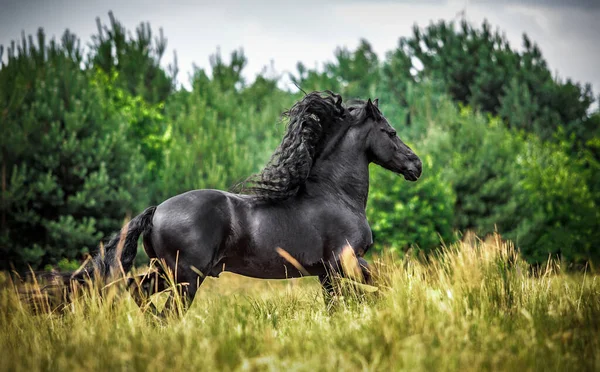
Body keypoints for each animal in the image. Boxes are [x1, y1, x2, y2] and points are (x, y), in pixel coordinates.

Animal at [82, 91, 422, 314]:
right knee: (166, 312)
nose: (416, 165)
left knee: (136, 291)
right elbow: (381, 285)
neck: (336, 194)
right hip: (186, 277)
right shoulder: (347, 262)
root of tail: (156, 212)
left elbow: (341, 304)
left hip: (165, 271)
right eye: (391, 132)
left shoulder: (327, 272)